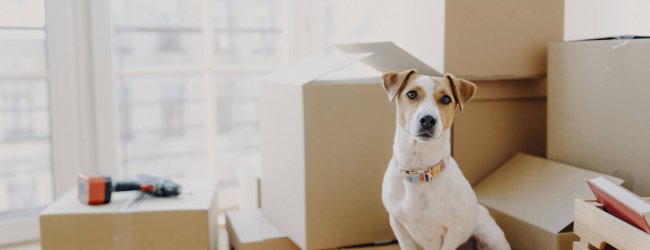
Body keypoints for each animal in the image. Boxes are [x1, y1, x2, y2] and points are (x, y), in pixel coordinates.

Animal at [380, 69, 512, 250]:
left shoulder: (453, 230)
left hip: (490, 236)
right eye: (411, 94)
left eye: (446, 99)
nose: (428, 120)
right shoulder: (397, 223)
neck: (420, 172)